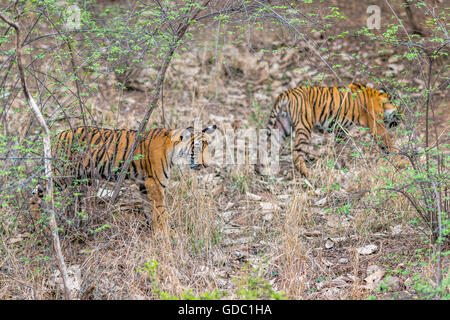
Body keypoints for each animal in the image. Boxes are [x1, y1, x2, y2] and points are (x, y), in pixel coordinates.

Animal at [30, 124, 217, 232]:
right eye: (198, 147)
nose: (207, 165)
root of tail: (57, 136)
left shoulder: (144, 184)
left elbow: (149, 209)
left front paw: (154, 231)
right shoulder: (155, 183)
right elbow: (161, 212)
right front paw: (166, 234)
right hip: (61, 175)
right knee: (35, 194)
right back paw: (40, 226)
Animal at [268, 82, 400, 178]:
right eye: (398, 113)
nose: (399, 121)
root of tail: (287, 93)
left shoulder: (340, 130)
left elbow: (338, 148)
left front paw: (339, 164)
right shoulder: (377, 125)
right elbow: (387, 141)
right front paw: (399, 159)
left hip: (282, 126)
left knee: (271, 147)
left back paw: (268, 172)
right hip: (304, 125)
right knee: (296, 152)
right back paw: (308, 174)